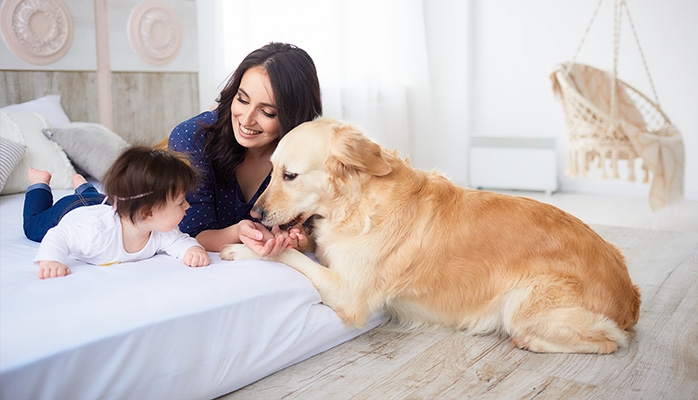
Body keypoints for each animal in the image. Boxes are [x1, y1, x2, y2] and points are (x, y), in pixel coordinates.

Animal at [220, 117, 640, 352]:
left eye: (290, 175)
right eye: (271, 170)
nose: (254, 213)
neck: (357, 203)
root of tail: (629, 294)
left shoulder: (349, 294)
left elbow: (287, 255)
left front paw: (245, 248)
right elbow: (305, 244)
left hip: (522, 304)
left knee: (610, 342)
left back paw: (530, 341)